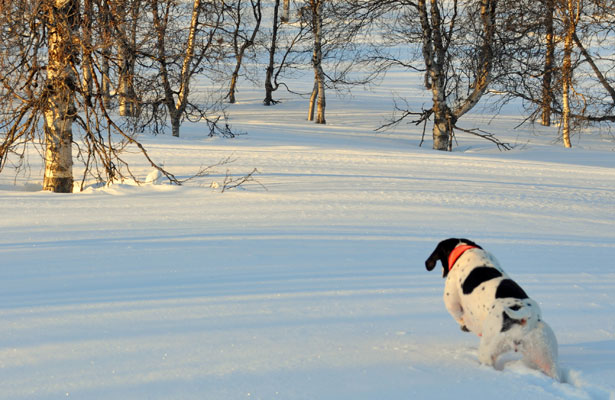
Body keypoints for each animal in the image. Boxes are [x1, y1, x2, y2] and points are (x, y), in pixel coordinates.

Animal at [426, 239, 560, 380]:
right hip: (546, 355)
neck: (465, 249)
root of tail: (528, 315)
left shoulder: (451, 300)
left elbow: (458, 315)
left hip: (488, 348)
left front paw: (465, 325)